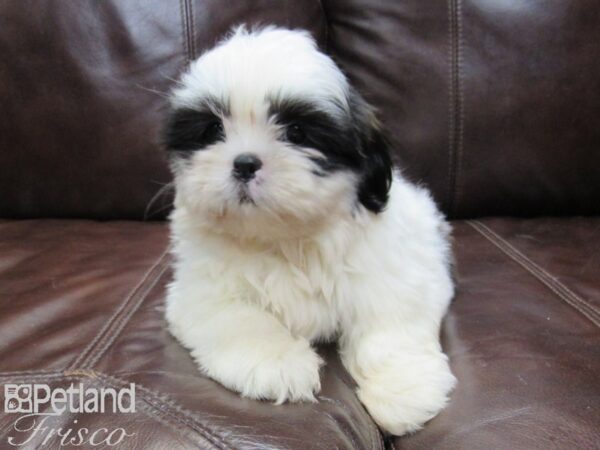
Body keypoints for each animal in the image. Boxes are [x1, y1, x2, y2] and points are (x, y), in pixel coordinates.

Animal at [164, 26, 454, 434]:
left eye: (297, 132)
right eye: (213, 129)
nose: (244, 163)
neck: (287, 239)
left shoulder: (397, 272)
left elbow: (390, 323)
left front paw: (404, 388)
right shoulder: (201, 290)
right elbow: (240, 319)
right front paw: (277, 364)